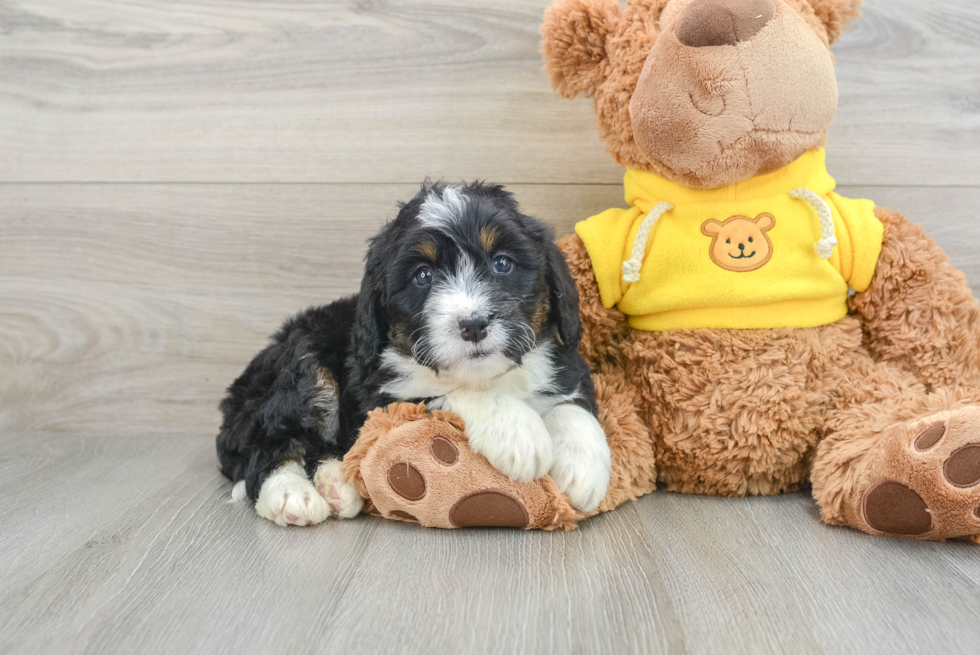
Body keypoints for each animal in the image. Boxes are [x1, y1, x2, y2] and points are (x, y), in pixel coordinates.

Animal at [220, 183, 612, 528]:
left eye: (502, 263)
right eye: (423, 276)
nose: (473, 325)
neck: (487, 374)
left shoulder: (564, 360)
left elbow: (571, 404)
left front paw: (583, 469)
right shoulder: (383, 395)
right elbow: (448, 393)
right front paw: (518, 433)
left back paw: (337, 483)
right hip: (306, 365)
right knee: (267, 447)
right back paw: (291, 494)